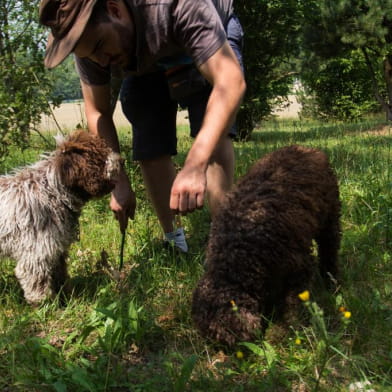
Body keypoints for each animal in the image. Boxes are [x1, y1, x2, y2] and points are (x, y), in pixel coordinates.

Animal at [0, 130, 121, 304]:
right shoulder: (37, 253)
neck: (52, 192)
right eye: (100, 157)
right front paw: (44, 304)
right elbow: (37, 282)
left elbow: (59, 274)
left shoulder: (56, 249)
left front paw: (65, 297)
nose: (121, 160)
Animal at [191, 145, 342, 344]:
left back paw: (331, 280)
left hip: (330, 216)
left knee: (330, 248)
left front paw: (286, 327)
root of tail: (305, 149)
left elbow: (293, 301)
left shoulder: (299, 266)